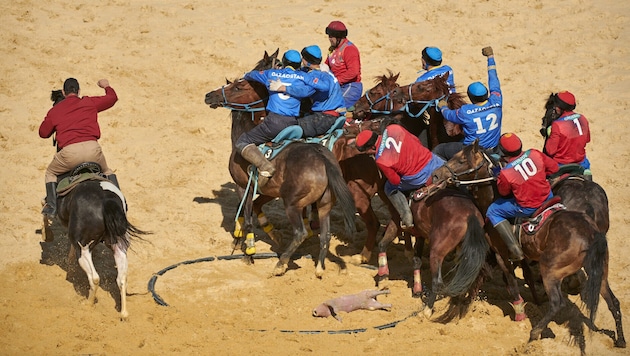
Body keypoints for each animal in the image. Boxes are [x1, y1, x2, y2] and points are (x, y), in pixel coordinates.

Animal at [434, 140, 628, 350]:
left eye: (461, 159)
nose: (436, 174)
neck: (494, 197)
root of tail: (589, 233)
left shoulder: (502, 254)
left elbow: (511, 283)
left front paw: (519, 312)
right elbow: (521, 275)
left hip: (551, 270)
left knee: (557, 303)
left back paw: (534, 333)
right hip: (600, 272)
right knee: (613, 302)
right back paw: (620, 339)